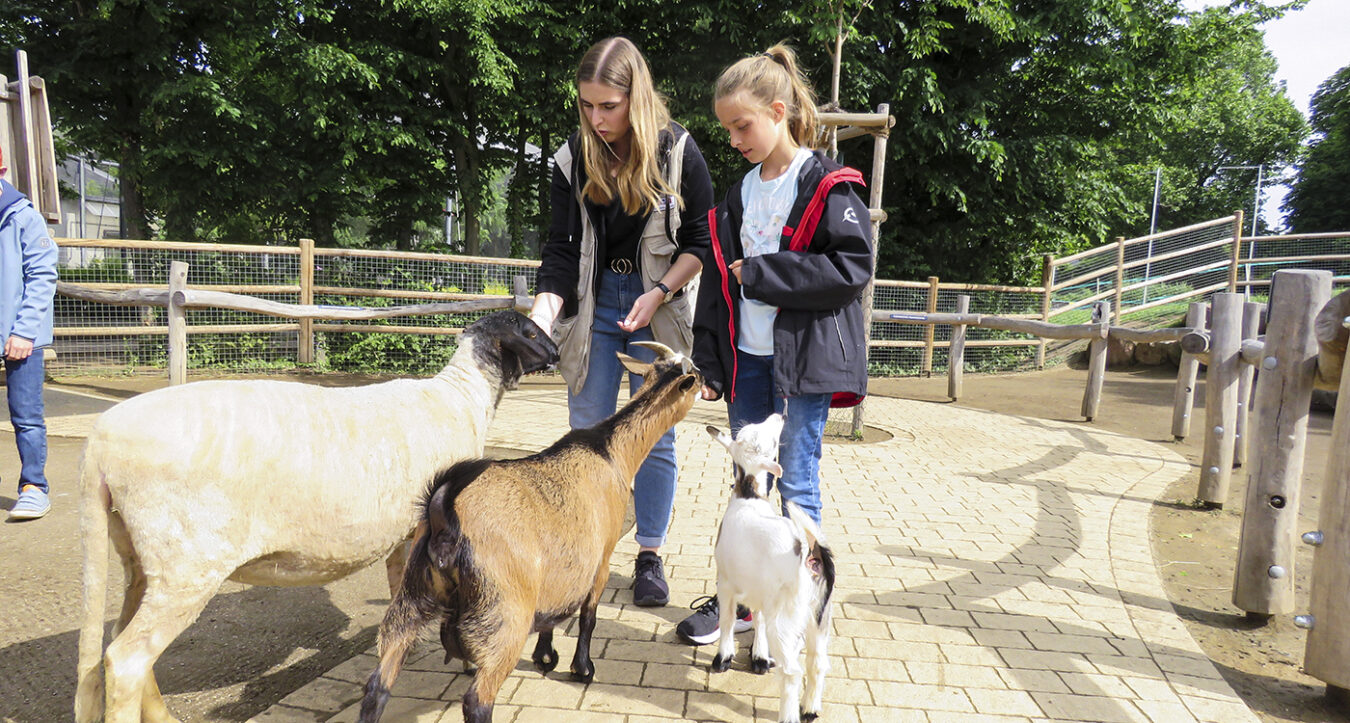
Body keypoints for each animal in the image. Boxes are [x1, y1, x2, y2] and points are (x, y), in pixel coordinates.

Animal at [72, 308, 558, 723]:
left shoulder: (406, 538)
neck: (461, 398)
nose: (556, 354)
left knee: (122, 641)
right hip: (187, 561)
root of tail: (99, 443)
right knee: (126, 659)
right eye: (531, 332)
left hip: (140, 555)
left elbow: (399, 595)